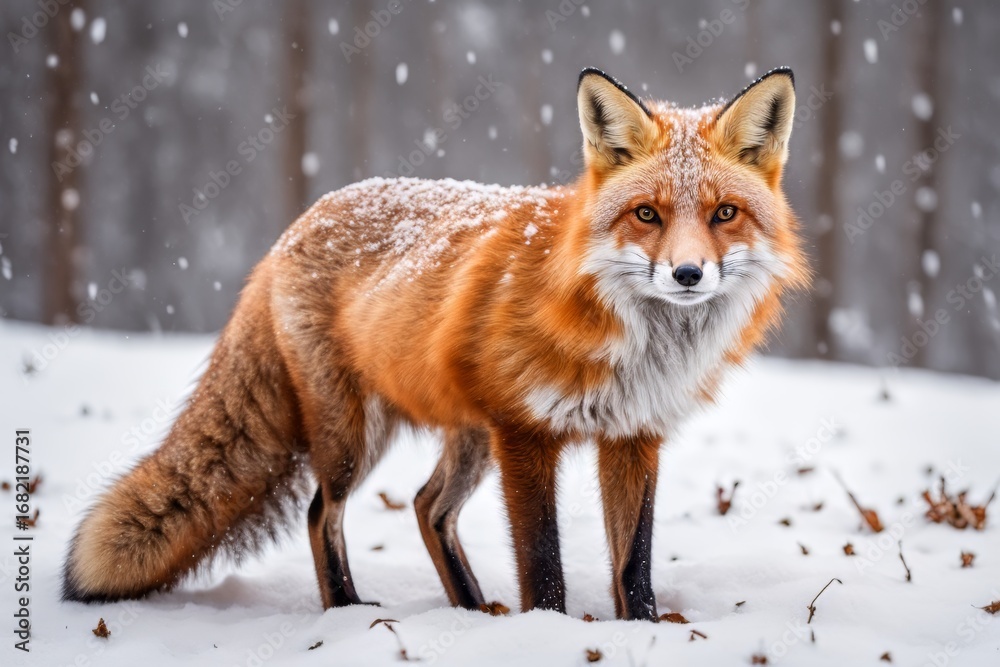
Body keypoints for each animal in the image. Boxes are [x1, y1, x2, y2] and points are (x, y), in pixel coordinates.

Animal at [63, 67, 807, 620]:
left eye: (724, 214)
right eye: (647, 213)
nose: (688, 274)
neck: (635, 341)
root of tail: (297, 224)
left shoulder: (632, 436)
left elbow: (635, 565)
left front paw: (641, 631)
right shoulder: (524, 433)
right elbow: (544, 565)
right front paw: (548, 631)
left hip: (465, 436)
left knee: (427, 507)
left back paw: (471, 609)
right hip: (355, 438)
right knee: (321, 511)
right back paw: (347, 610)